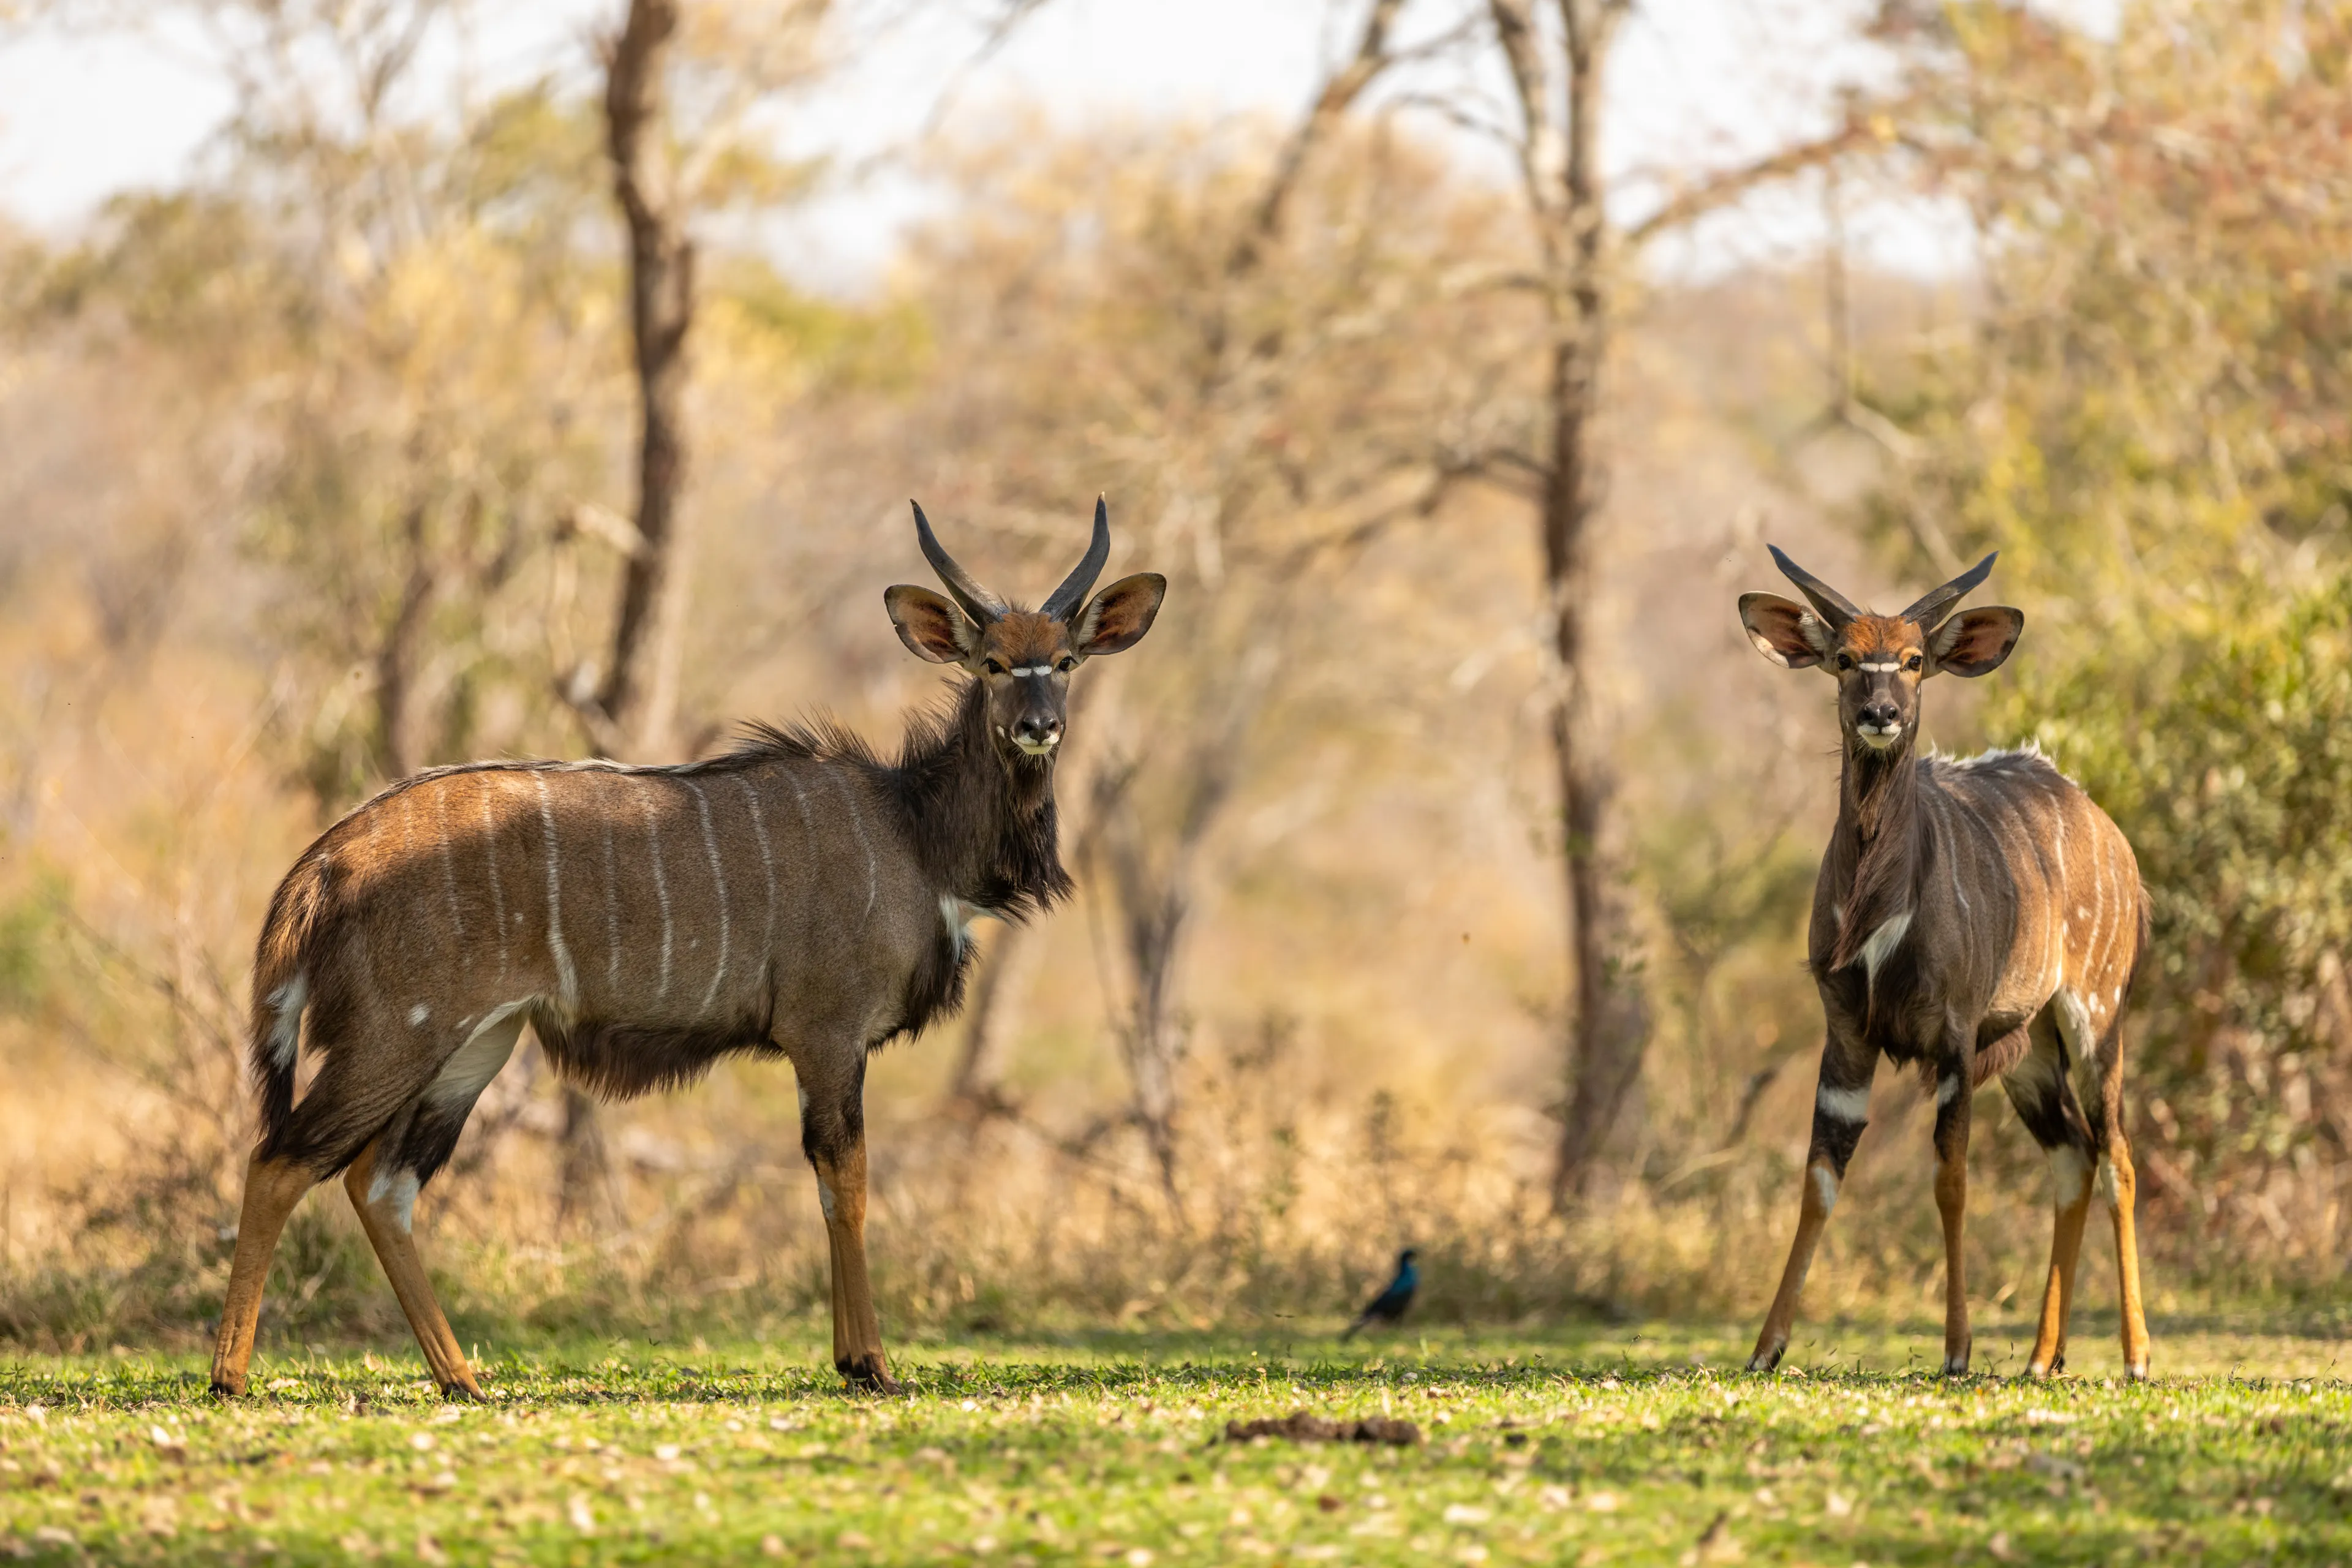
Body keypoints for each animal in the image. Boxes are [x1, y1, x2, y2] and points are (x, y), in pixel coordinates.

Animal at [211, 500, 1166, 1401]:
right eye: (993, 662)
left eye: (1066, 661)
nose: (1040, 725)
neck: (915, 831)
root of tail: (323, 863)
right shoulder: (827, 1033)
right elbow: (845, 1179)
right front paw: (868, 1363)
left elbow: (832, 1178)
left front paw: (852, 1357)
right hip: (396, 1038)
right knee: (281, 1160)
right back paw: (230, 1377)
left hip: (475, 1047)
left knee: (378, 1184)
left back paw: (463, 1379)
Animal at [1731, 545, 2154, 1382]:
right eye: (1845, 659)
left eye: (1915, 660)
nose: (1881, 714)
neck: (1879, 905)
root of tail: (2114, 839)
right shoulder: (1847, 1033)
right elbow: (1819, 1180)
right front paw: (1766, 1347)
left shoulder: (1954, 1035)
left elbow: (1951, 1179)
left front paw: (1958, 1349)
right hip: (2032, 1050)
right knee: (2073, 1157)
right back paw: (2041, 1359)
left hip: (2095, 1017)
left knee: (2118, 1157)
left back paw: (2135, 1356)